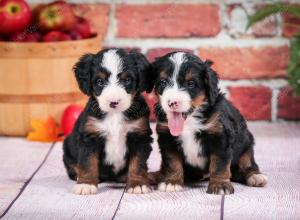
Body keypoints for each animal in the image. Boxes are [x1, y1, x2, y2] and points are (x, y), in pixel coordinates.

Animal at [62, 48, 154, 194]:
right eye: (100, 81)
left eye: (127, 80)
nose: (113, 102)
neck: (114, 115)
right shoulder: (90, 137)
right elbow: (87, 162)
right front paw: (86, 184)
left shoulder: (140, 136)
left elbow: (138, 163)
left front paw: (138, 184)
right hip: (67, 146)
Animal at [152, 51, 268, 194]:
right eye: (163, 82)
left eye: (190, 84)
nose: (172, 102)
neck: (189, 120)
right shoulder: (167, 137)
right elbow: (172, 161)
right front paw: (172, 182)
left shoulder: (220, 136)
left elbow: (219, 164)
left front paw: (220, 185)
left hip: (246, 145)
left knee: (246, 164)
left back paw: (255, 176)